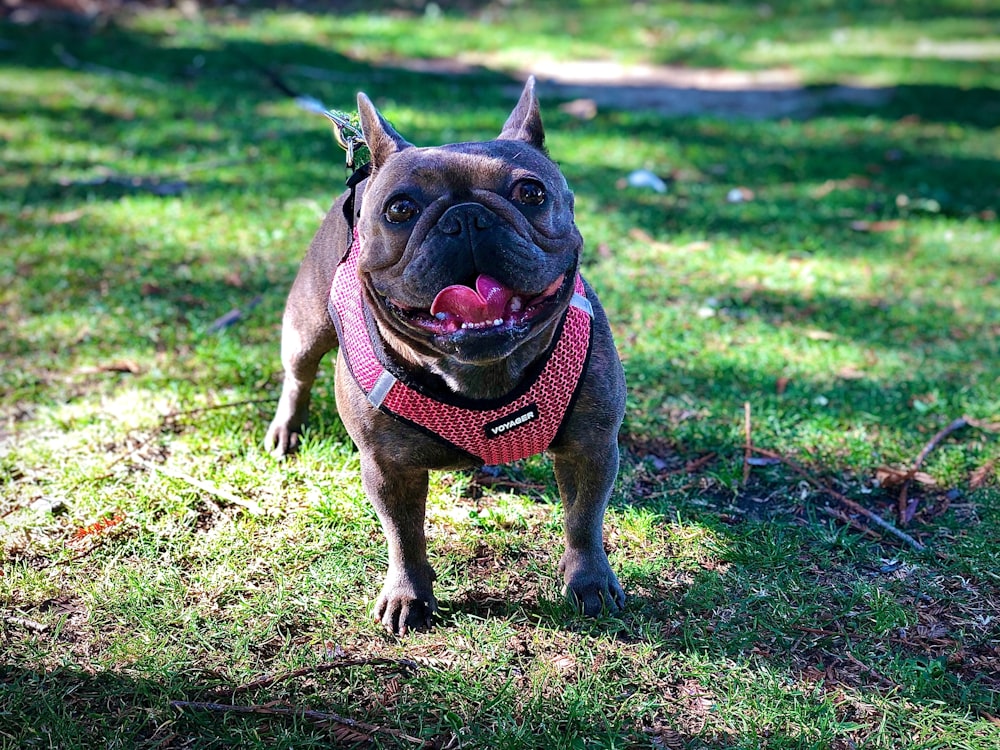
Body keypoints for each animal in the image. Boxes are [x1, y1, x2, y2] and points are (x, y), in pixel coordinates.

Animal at [266, 79, 624, 636]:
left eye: (531, 193)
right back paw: (286, 429)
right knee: (298, 375)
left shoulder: (591, 447)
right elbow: (404, 535)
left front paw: (589, 581)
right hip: (305, 329)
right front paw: (408, 595)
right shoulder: (387, 468)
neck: (481, 374)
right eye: (400, 210)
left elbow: (584, 520)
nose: (467, 217)